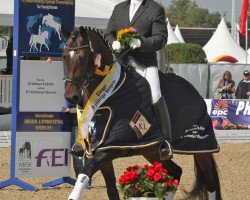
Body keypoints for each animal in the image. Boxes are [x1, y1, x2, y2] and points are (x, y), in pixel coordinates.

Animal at [61, 26, 222, 200]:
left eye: (83, 57)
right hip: (152, 151)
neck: (108, 94)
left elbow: (84, 173)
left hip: (201, 148)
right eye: (64, 56)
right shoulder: (98, 149)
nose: (71, 97)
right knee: (176, 172)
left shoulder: (111, 148)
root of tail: (196, 93)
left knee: (210, 182)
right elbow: (111, 190)